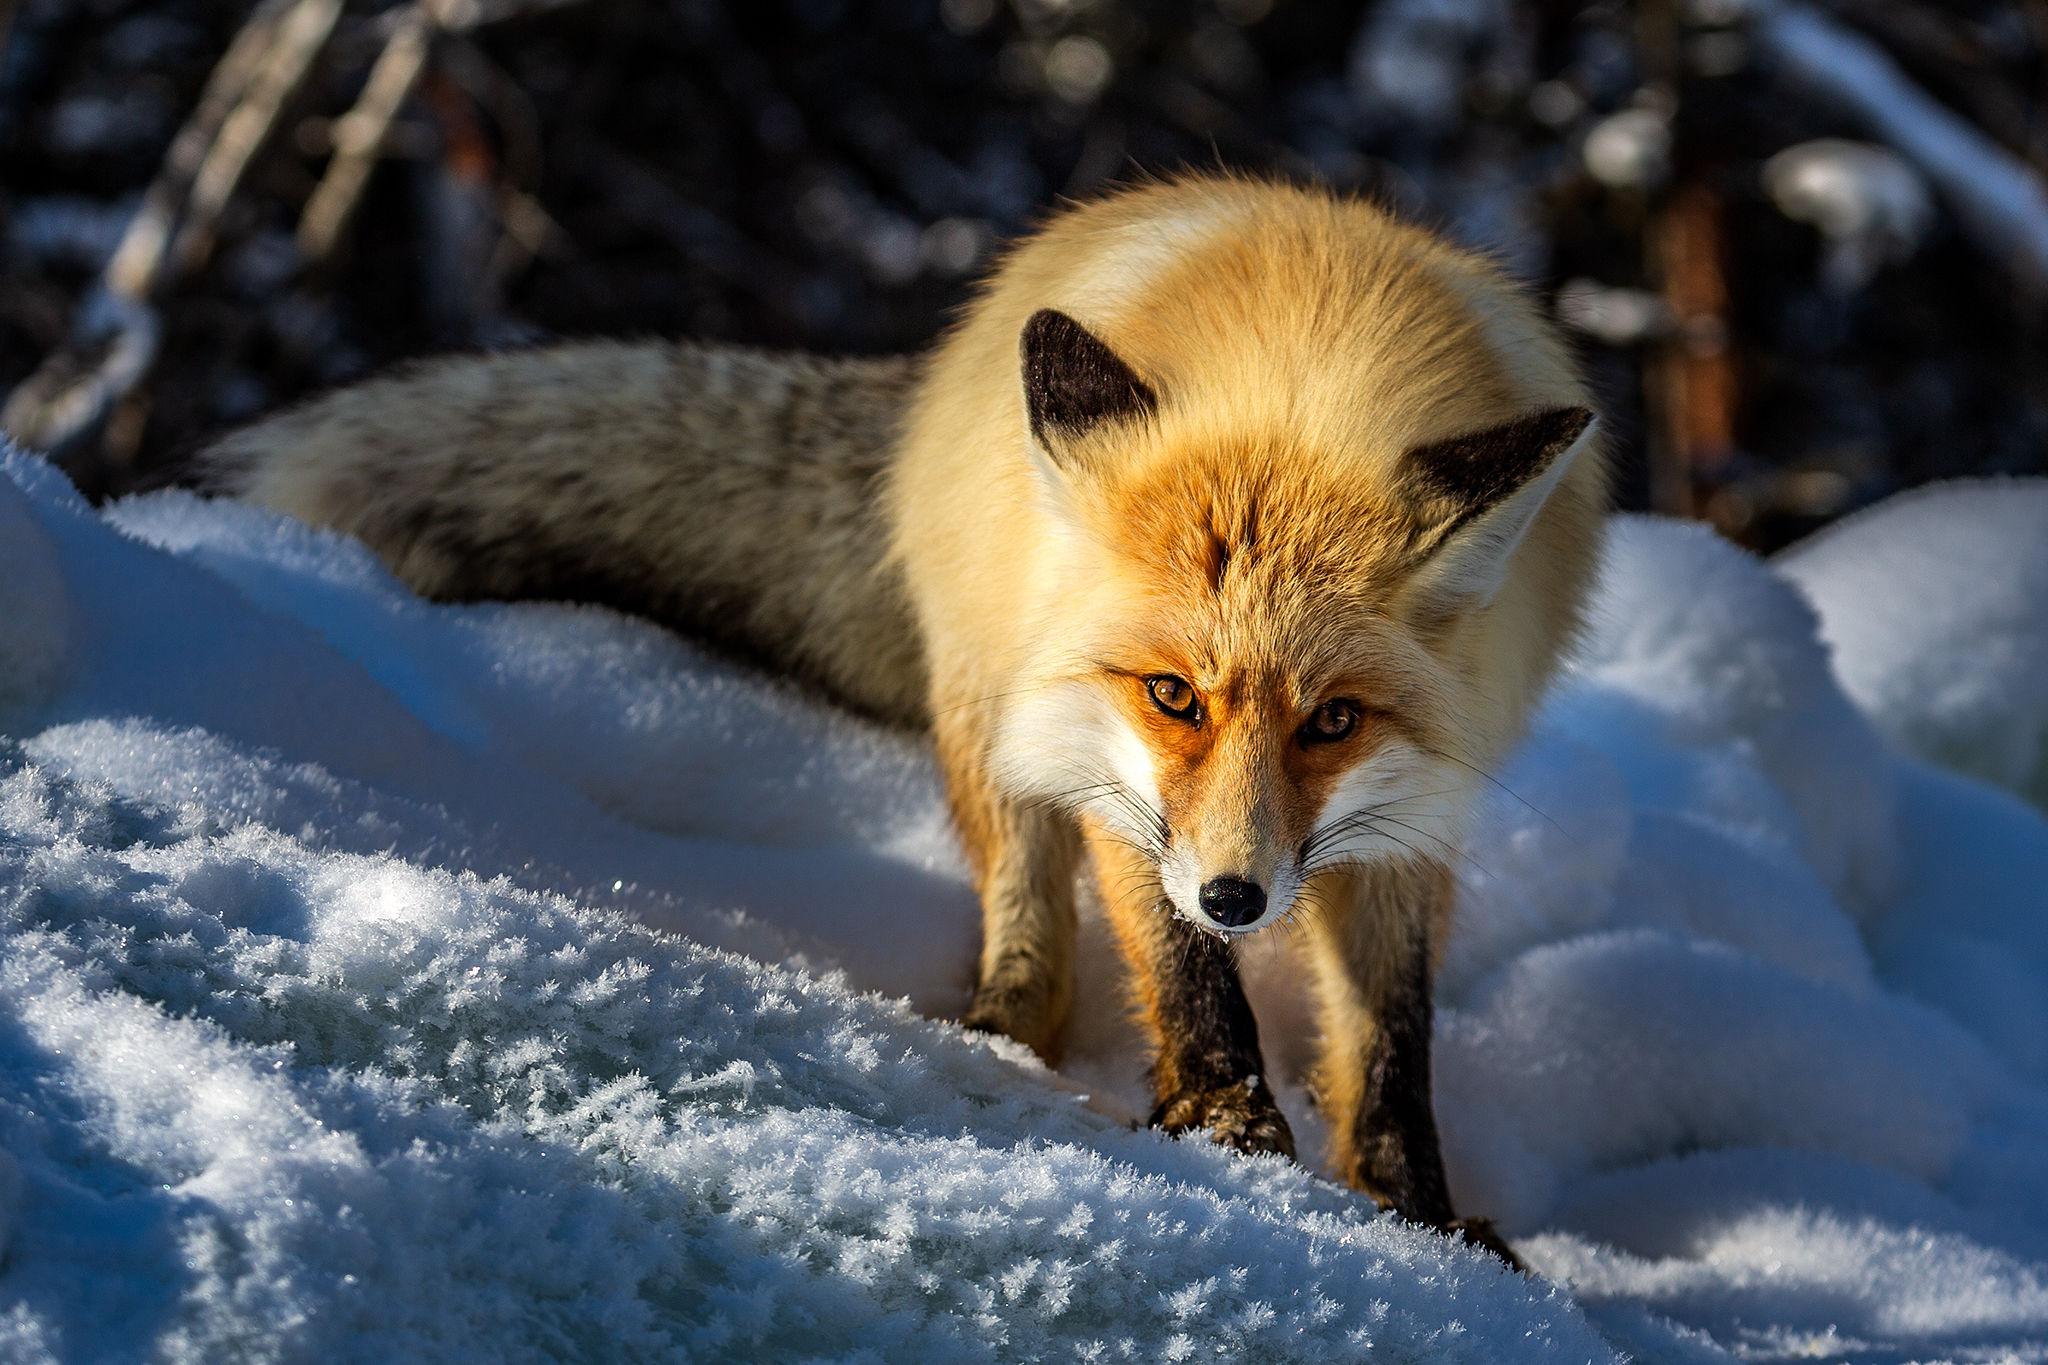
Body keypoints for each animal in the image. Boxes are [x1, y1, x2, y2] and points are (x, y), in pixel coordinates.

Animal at [203, 175, 1597, 1268]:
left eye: (1334, 721)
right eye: (1171, 696)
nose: (1237, 898)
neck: (1300, 379)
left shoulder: (1412, 817)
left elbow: (1391, 1042)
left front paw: (1418, 1214)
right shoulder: (1112, 774)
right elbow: (1181, 972)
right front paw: (1221, 1117)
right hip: (992, 705)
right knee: (1033, 954)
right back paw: (1003, 1037)